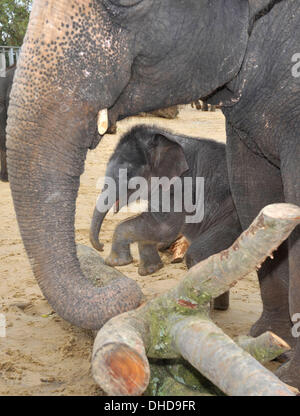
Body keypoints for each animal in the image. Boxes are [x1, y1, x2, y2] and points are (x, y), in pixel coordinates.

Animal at [90, 125, 243, 310]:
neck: (168, 138)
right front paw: (150, 270)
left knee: (197, 256)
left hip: (233, 218)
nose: (101, 246)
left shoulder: (180, 187)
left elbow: (164, 227)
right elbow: (153, 224)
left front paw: (115, 263)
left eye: (128, 174)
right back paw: (220, 308)